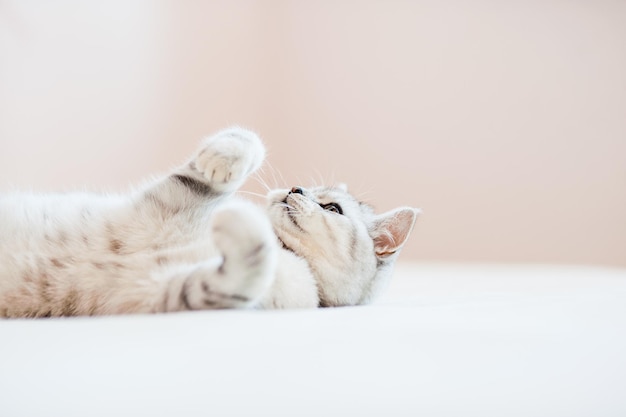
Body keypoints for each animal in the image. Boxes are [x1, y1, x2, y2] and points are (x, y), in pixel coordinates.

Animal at [1, 126, 420, 316]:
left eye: (333, 209)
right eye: (304, 185)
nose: (294, 188)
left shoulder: (174, 293)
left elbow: (248, 266)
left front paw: (238, 222)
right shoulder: (170, 199)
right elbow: (248, 141)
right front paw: (223, 157)